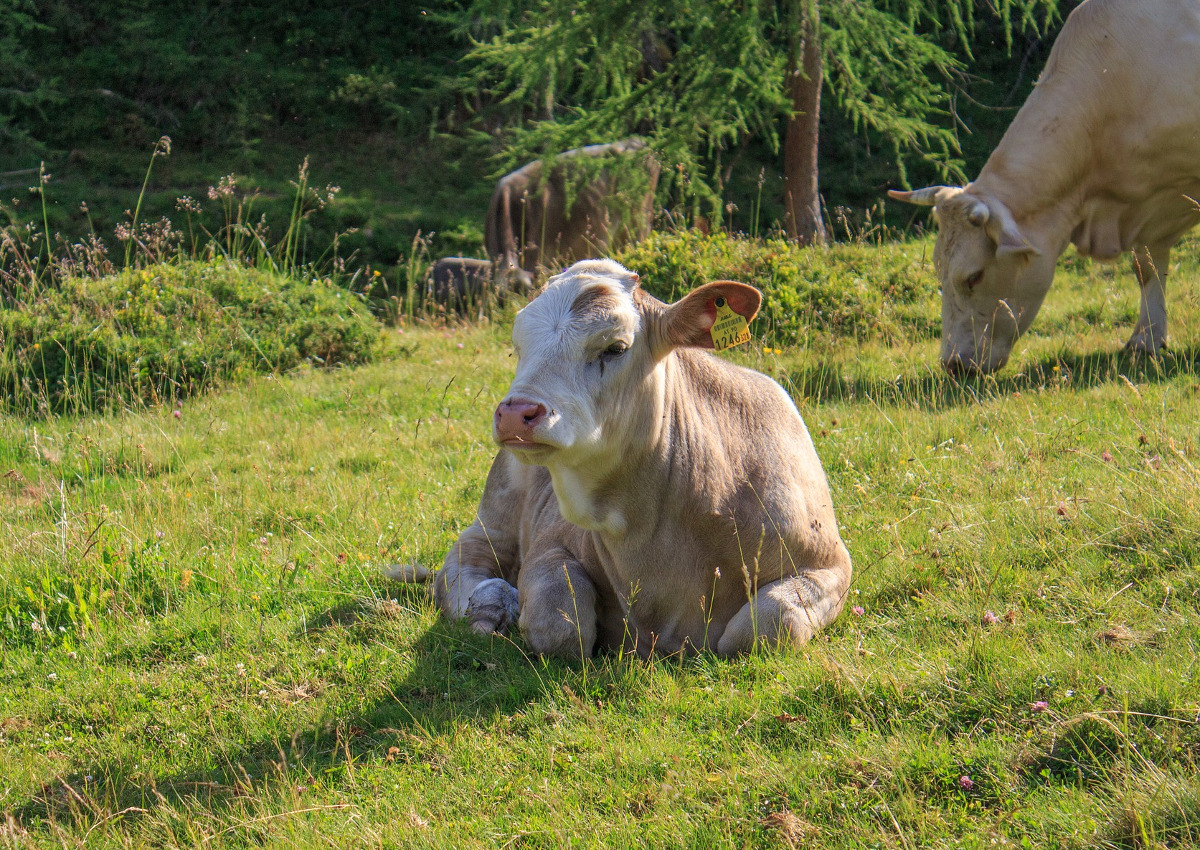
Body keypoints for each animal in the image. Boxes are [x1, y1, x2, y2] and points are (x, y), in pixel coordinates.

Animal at [412, 261, 854, 662]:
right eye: (519, 346)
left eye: (616, 347)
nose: (515, 413)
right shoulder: (549, 545)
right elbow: (558, 623)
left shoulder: (829, 564)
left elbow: (764, 625)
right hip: (493, 518)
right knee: (461, 566)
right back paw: (494, 603)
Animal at [888, 0, 1200, 372]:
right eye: (939, 269)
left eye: (974, 276)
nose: (952, 364)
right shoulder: (1145, 206)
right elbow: (1147, 267)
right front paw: (1147, 339)